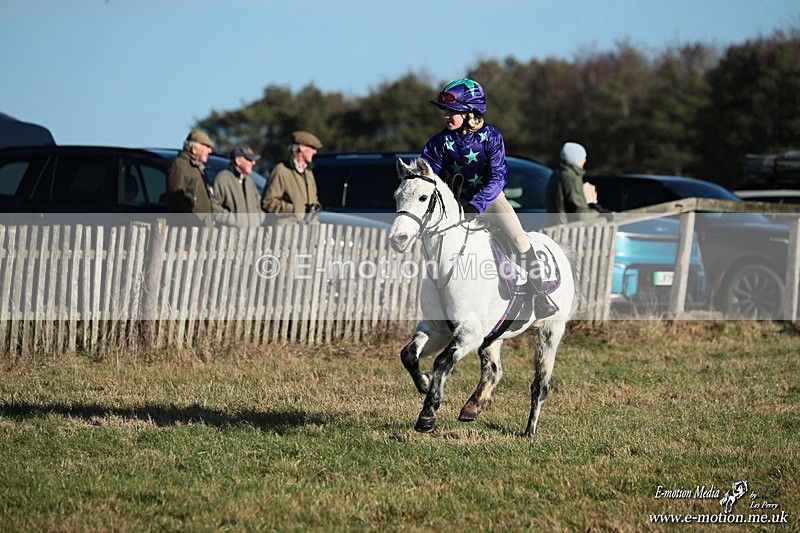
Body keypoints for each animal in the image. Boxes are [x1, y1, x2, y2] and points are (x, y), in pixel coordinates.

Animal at [389, 157, 577, 436]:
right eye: (397, 196)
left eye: (423, 197)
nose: (398, 239)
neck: (449, 264)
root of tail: (558, 249)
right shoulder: (436, 327)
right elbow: (409, 354)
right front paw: (423, 382)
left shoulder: (470, 331)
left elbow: (442, 362)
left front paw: (427, 416)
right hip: (494, 334)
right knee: (494, 370)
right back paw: (472, 407)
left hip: (549, 331)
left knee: (541, 384)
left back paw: (529, 431)